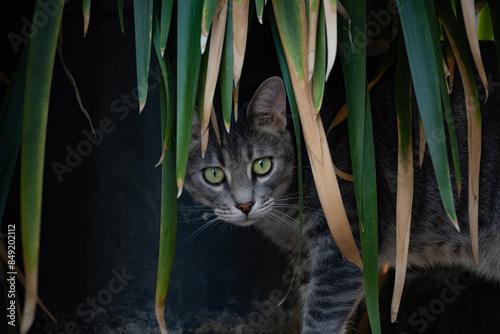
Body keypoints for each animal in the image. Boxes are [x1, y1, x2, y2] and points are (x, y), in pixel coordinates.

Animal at [183, 61, 500, 332]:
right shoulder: (305, 259)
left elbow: (322, 316)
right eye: (214, 174)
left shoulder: (346, 246)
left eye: (262, 165)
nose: (245, 204)